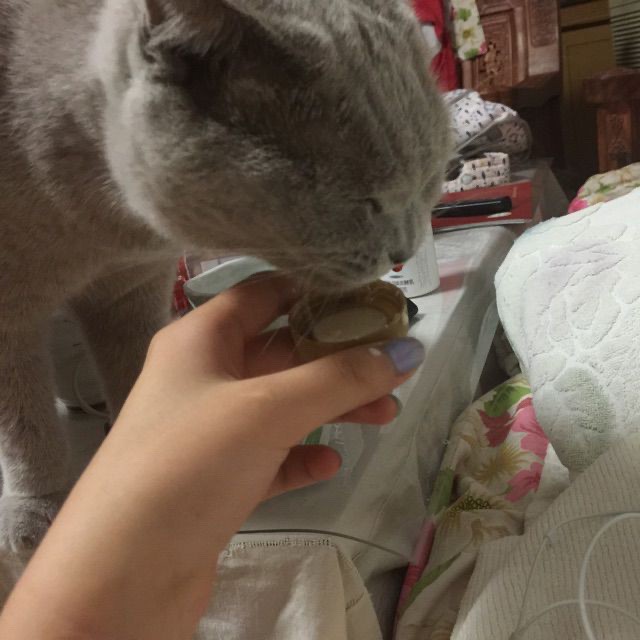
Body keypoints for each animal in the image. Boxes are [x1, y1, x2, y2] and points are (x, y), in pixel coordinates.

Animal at [0, 0, 451, 551]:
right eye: (366, 202)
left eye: (428, 182)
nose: (404, 250)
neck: (105, 229)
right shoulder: (10, 309)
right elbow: (23, 422)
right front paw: (36, 509)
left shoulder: (130, 291)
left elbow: (135, 370)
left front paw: (139, 442)